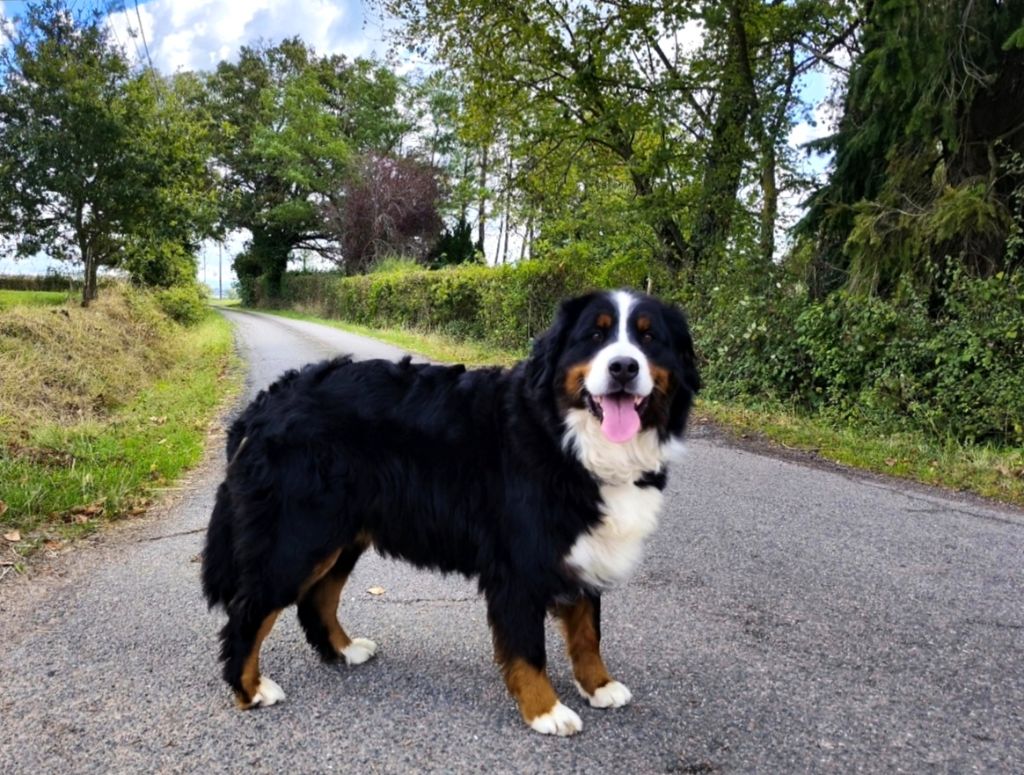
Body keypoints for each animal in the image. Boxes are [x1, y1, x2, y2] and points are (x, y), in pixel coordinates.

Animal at [205, 288, 704, 733]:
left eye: (649, 338)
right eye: (595, 336)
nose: (623, 367)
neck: (566, 436)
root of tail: (267, 400)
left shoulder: (582, 544)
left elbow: (587, 631)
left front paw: (598, 685)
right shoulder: (521, 564)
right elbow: (529, 649)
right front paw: (545, 710)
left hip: (340, 535)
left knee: (317, 599)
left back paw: (344, 651)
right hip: (298, 536)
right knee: (249, 612)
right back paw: (249, 689)